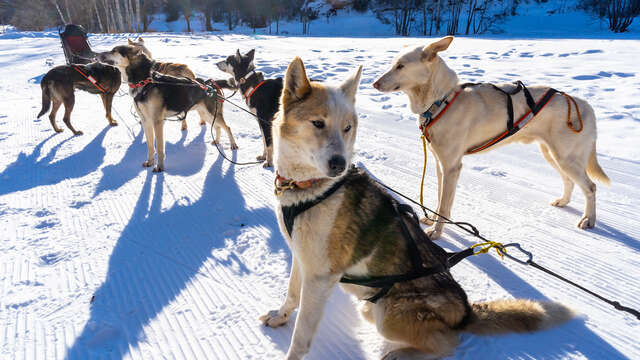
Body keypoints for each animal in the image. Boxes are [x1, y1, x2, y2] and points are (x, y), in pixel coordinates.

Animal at [262, 56, 572, 360]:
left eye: (347, 128)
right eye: (317, 123)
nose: (339, 164)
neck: (311, 188)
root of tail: (465, 310)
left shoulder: (319, 280)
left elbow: (300, 339)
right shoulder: (303, 261)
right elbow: (291, 295)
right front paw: (280, 316)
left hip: (388, 315)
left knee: (447, 343)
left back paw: (398, 355)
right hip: (369, 307)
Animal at [372, 35, 608, 239]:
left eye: (400, 66)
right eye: (392, 63)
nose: (374, 83)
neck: (442, 100)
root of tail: (584, 105)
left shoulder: (452, 167)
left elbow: (445, 204)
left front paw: (437, 232)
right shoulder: (440, 165)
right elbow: (440, 201)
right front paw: (432, 220)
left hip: (567, 158)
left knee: (590, 187)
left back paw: (588, 219)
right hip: (553, 155)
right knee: (569, 181)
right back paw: (563, 201)